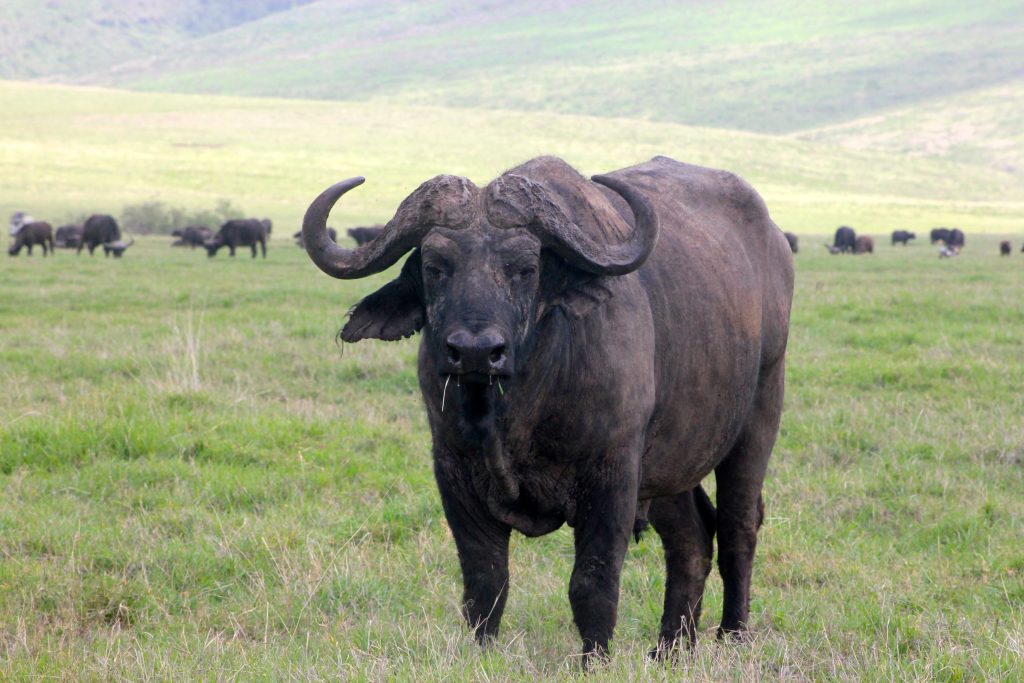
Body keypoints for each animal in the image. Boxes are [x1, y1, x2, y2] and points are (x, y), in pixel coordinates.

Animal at [302, 155, 793, 662]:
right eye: (436, 266)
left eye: (525, 268)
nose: (476, 352)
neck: (515, 412)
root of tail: (775, 242)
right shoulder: (452, 471)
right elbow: (485, 580)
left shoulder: (613, 475)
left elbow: (592, 583)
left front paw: (595, 660)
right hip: (670, 464)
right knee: (691, 538)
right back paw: (671, 649)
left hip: (759, 416)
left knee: (738, 528)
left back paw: (732, 634)